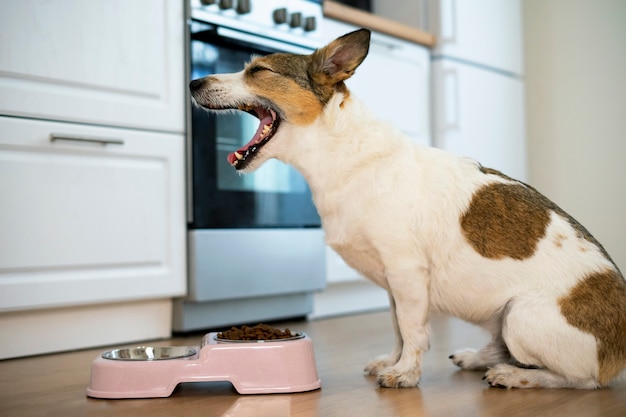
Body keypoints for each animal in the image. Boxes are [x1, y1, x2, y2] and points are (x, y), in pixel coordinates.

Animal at [190, 28, 624, 386]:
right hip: (504, 321)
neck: (342, 155)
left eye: (259, 70)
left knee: (579, 379)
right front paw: (393, 362)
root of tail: (619, 347)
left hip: (522, 316)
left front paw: (406, 374)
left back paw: (518, 376)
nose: (193, 81)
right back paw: (477, 358)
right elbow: (399, 329)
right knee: (508, 350)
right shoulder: (392, 285)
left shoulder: (406, 272)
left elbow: (413, 331)